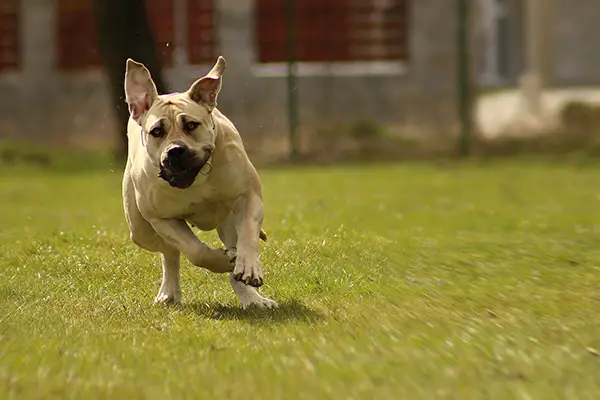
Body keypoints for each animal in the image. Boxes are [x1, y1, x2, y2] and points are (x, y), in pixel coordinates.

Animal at [120, 54, 278, 308]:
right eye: (157, 131)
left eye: (191, 125)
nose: (175, 150)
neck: (196, 179)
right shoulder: (161, 218)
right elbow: (194, 250)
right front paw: (221, 261)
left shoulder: (248, 197)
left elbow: (247, 235)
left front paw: (248, 267)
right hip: (140, 231)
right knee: (169, 253)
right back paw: (169, 292)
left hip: (227, 221)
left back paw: (253, 299)